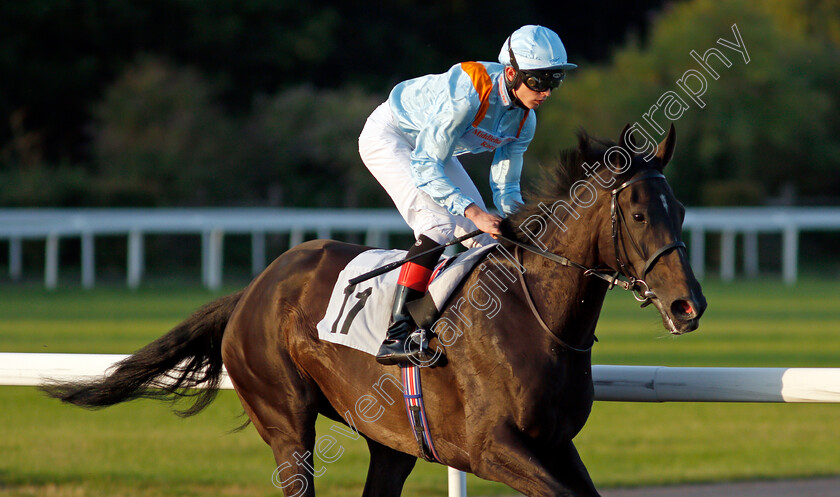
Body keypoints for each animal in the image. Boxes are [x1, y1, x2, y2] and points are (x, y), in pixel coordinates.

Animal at [42, 124, 704, 496]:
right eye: (638, 214)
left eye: (681, 211)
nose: (687, 305)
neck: (532, 314)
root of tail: (253, 288)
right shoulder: (490, 448)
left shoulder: (555, 443)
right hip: (286, 420)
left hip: (393, 438)